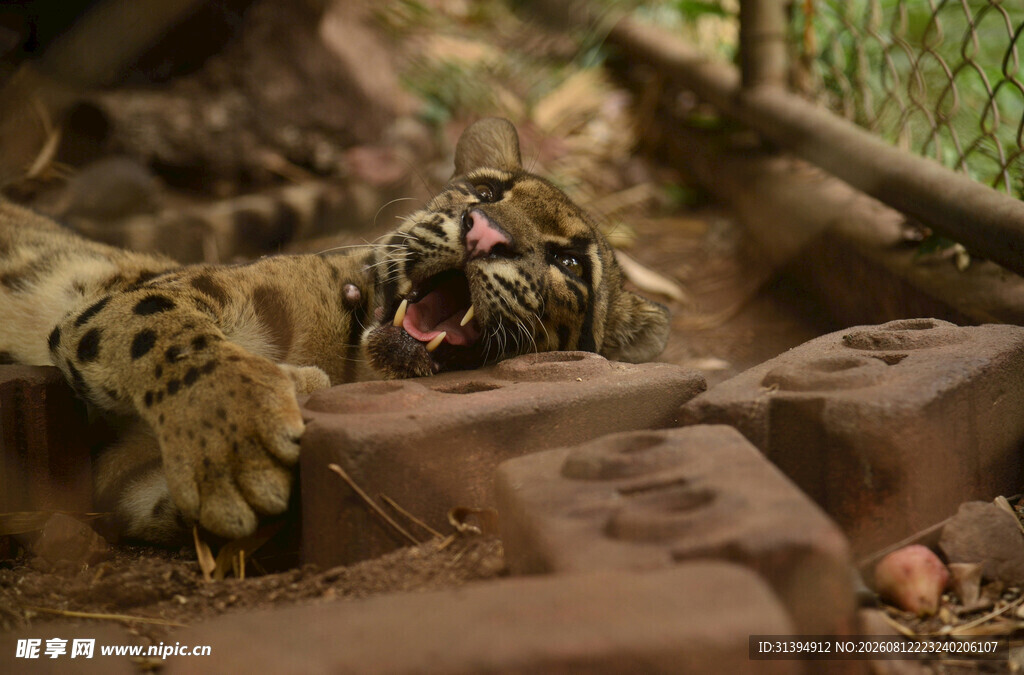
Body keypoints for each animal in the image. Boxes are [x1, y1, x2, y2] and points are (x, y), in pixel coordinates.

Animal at [0, 118, 670, 545]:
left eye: (571, 263)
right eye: (485, 190)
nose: (485, 232)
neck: (355, 363)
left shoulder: (125, 484)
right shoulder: (148, 298)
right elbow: (173, 335)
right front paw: (238, 433)